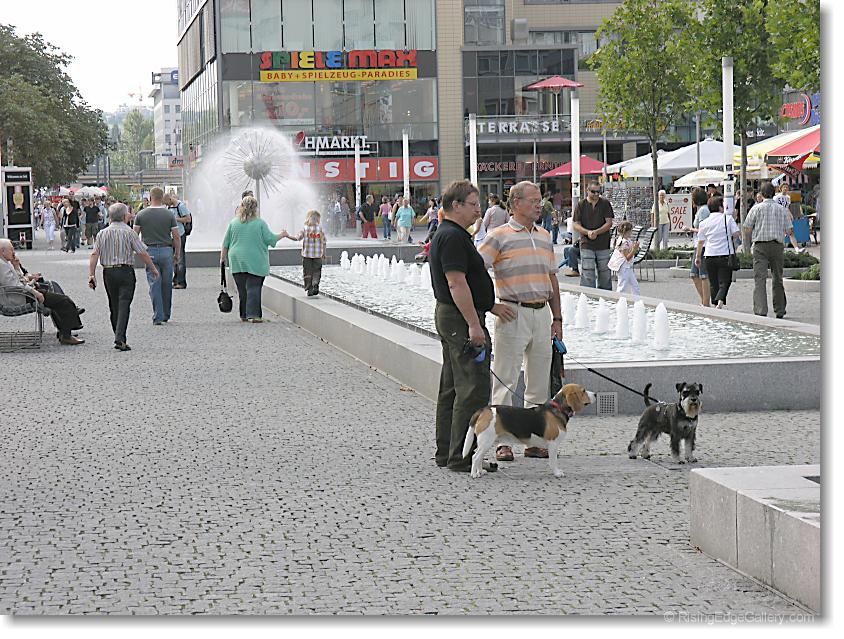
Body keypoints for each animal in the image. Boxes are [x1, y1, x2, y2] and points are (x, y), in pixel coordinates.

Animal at [462, 384, 594, 478]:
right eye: (583, 391)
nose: (595, 394)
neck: (558, 408)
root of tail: (483, 410)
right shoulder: (553, 444)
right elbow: (553, 461)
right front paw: (557, 473)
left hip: (486, 442)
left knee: (479, 457)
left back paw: (481, 471)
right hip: (486, 441)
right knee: (475, 457)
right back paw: (474, 474)